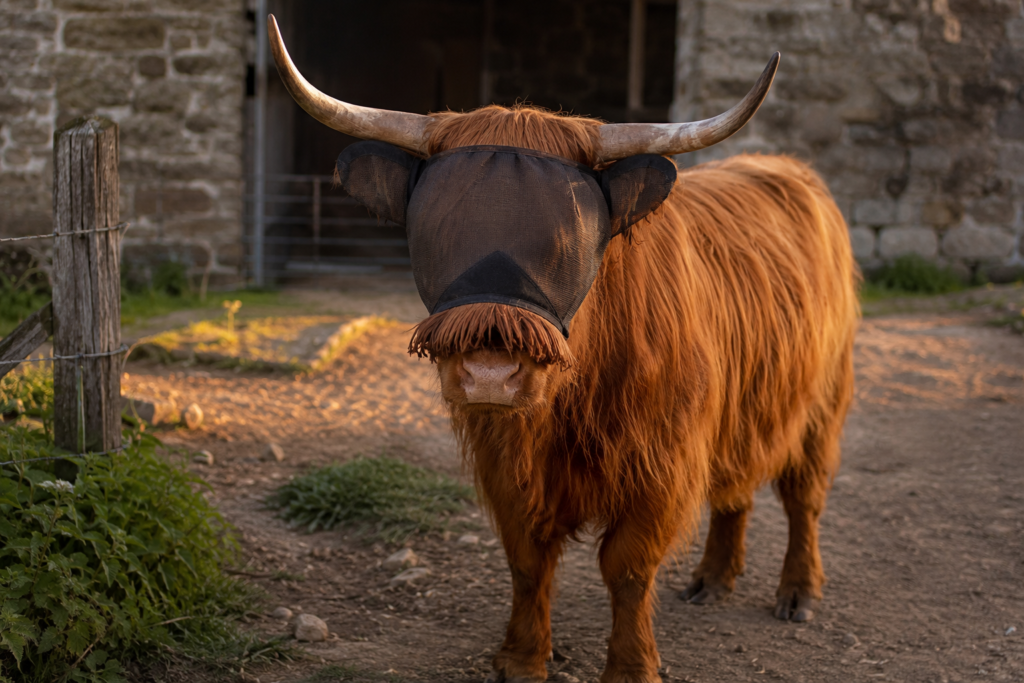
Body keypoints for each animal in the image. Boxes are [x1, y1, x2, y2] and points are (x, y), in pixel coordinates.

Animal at [269, 16, 858, 683]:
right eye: (433, 231)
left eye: (567, 240)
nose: (490, 374)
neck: (567, 407)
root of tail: (787, 170)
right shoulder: (506, 460)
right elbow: (527, 558)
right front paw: (522, 658)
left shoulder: (662, 462)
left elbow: (627, 567)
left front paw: (631, 667)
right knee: (735, 487)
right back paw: (711, 580)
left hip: (824, 400)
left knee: (804, 495)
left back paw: (798, 593)